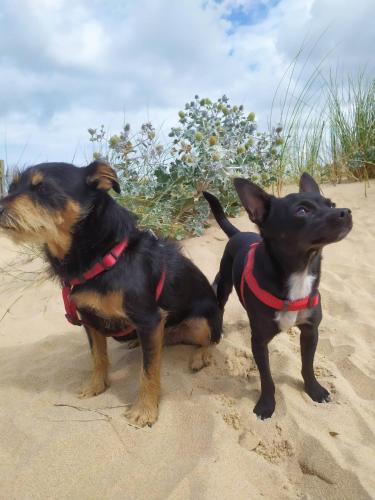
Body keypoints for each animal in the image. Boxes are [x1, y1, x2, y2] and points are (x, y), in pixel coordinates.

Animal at [0, 162, 222, 428]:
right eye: (11, 188)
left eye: (42, 188)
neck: (100, 257)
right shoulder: (89, 319)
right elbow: (97, 357)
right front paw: (95, 387)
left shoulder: (149, 319)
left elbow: (148, 372)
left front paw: (144, 410)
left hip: (201, 322)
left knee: (210, 340)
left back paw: (200, 356)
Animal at [204, 174, 354, 420]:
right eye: (302, 211)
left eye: (331, 204)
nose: (346, 211)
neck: (299, 272)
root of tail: (239, 233)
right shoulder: (259, 342)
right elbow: (267, 378)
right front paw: (266, 405)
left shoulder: (310, 332)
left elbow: (307, 365)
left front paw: (314, 390)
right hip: (224, 284)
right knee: (220, 304)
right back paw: (218, 332)